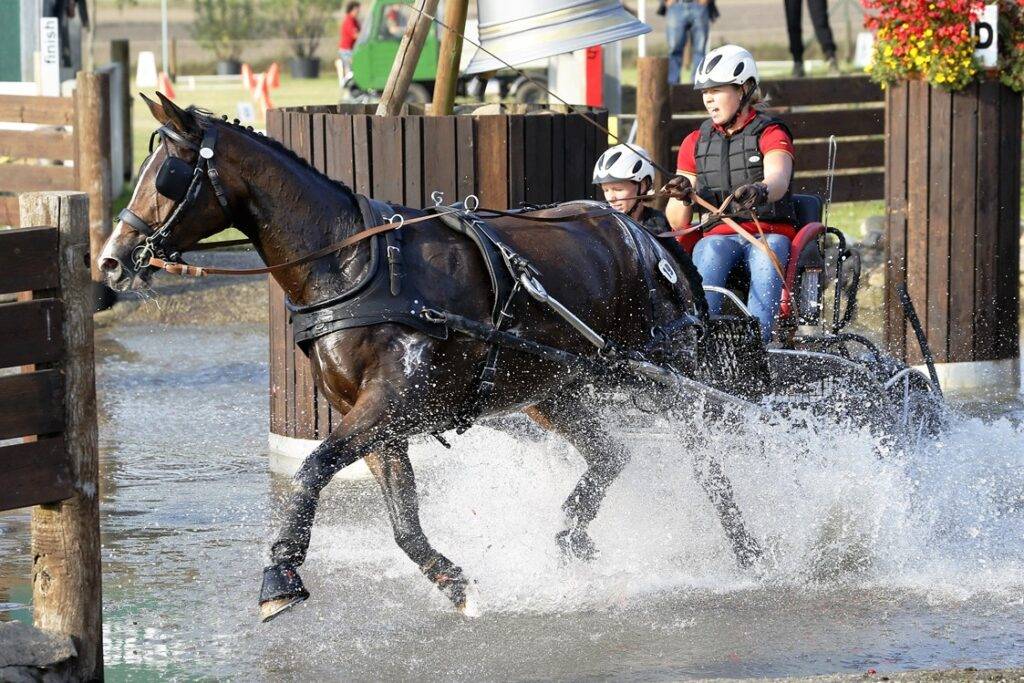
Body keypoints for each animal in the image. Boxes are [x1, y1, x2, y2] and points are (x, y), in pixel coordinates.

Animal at [101, 94, 761, 626]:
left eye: (167, 176)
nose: (110, 260)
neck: (354, 266)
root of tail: (650, 240)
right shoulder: (382, 422)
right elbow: (403, 521)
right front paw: (452, 580)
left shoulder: (388, 403)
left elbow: (312, 470)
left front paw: (280, 577)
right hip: (554, 389)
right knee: (611, 454)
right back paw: (572, 537)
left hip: (658, 373)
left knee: (705, 455)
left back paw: (747, 548)